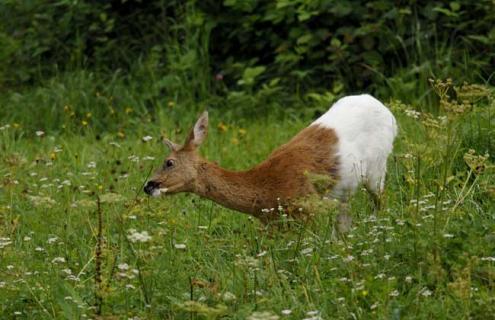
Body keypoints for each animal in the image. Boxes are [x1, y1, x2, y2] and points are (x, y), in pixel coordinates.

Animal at [144, 94, 400, 229]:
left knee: (381, 200)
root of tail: (386, 110)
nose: (148, 185)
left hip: (377, 168)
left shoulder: (309, 210)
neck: (265, 188)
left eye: (169, 162)